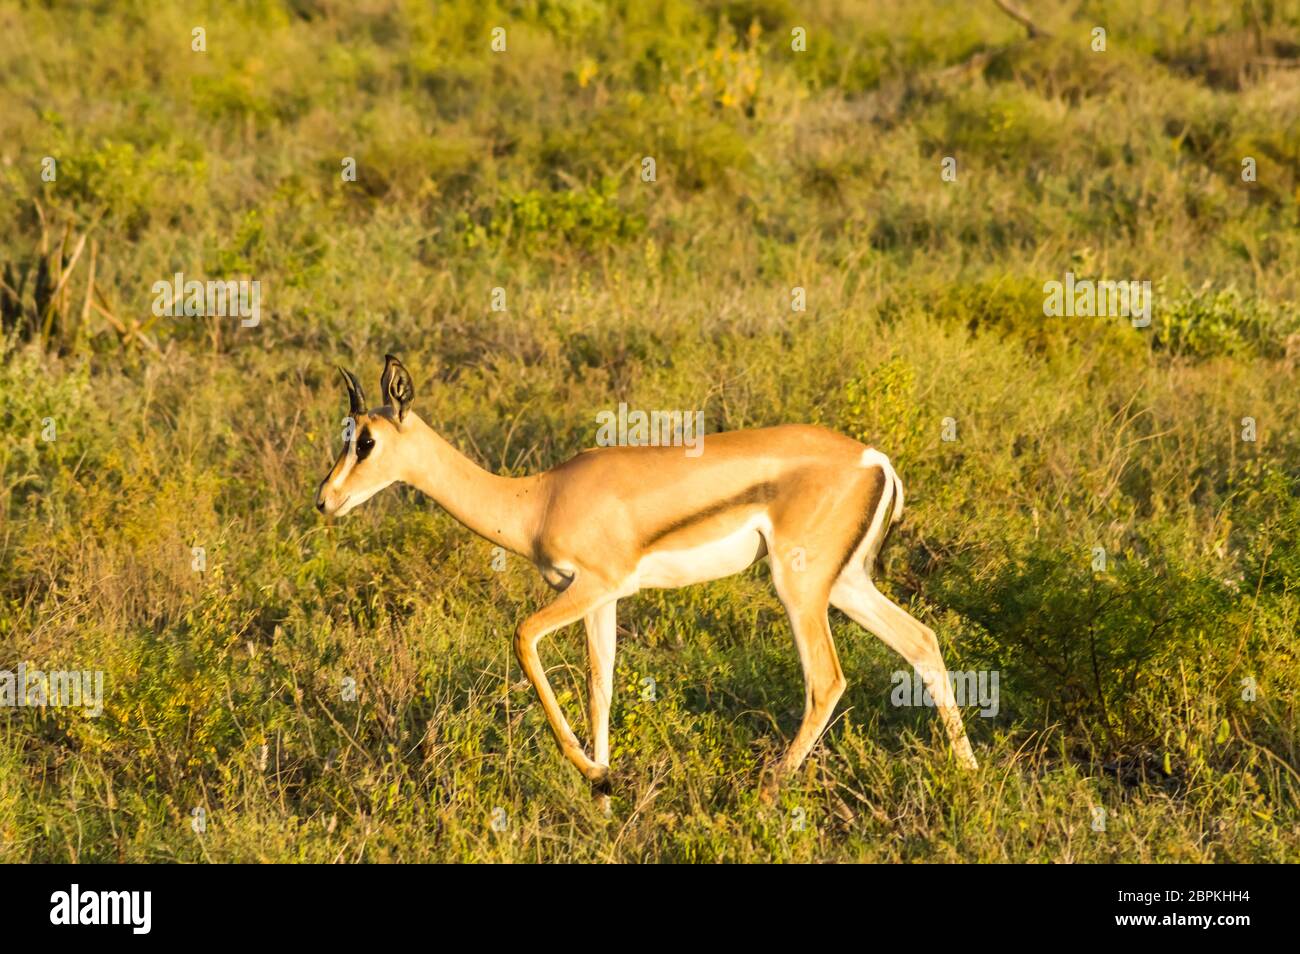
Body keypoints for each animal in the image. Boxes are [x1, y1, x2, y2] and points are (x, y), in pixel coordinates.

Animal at [319, 356, 977, 805]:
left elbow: (524, 637)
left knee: (827, 680)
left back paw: (763, 795)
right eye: (346, 436)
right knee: (922, 641)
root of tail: (875, 460)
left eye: (367, 440)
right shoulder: (599, 600)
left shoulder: (591, 586)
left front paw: (593, 773)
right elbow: (599, 685)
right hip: (845, 586)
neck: (539, 499)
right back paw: (967, 775)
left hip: (800, 588)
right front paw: (605, 788)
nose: (325, 500)